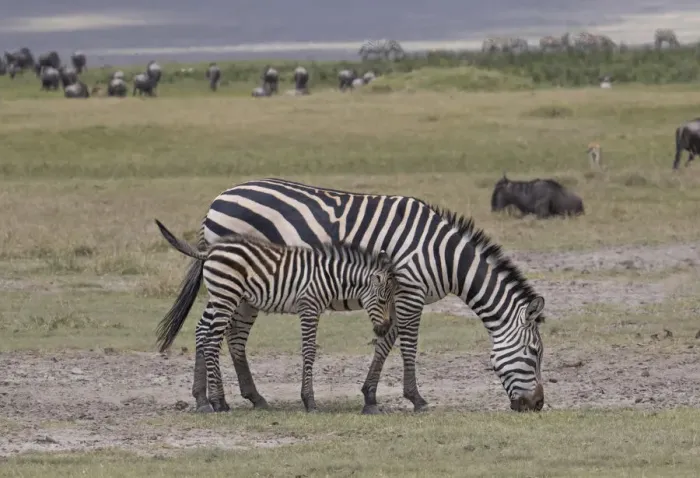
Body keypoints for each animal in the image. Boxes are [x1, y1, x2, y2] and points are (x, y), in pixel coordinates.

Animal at [154, 219, 398, 413]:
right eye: (382, 301)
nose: (385, 328)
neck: (330, 277)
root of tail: (210, 251)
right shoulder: (309, 306)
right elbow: (309, 351)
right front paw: (309, 401)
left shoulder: (314, 308)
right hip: (226, 296)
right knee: (212, 341)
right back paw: (218, 402)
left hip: (222, 297)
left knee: (205, 334)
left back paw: (212, 401)